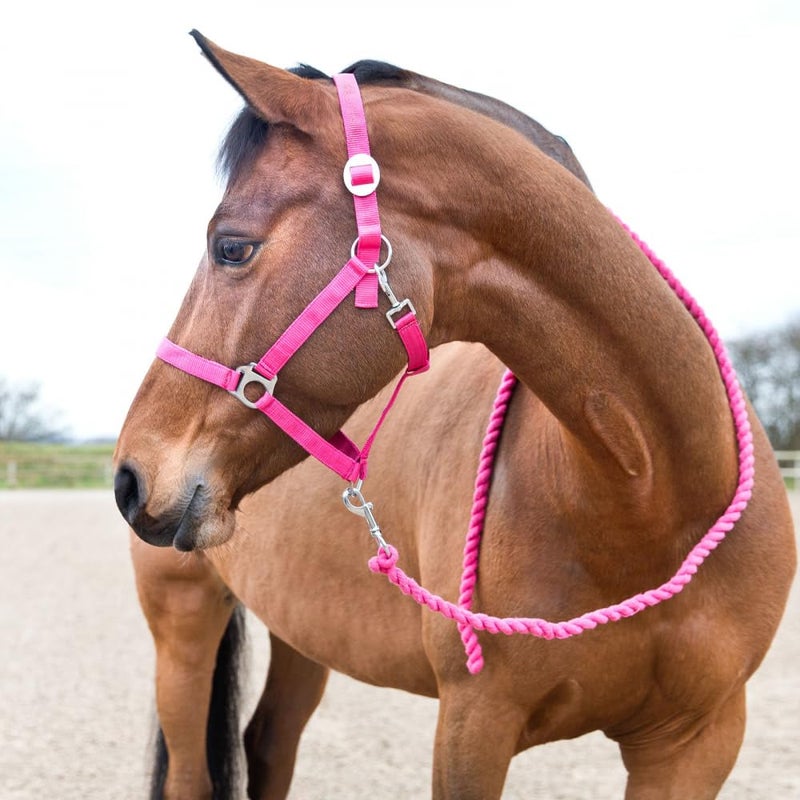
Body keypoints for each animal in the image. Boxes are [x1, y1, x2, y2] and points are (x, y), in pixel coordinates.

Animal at [114, 31, 796, 800]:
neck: (647, 498)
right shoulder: (475, 723)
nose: (130, 477)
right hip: (182, 620)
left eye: (231, 246)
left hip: (300, 630)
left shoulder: (695, 742)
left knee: (269, 746)